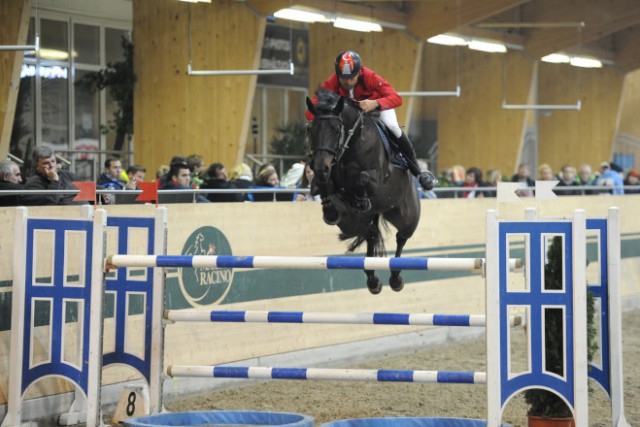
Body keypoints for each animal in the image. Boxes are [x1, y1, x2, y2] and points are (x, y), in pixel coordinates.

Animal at [304, 90, 420, 296]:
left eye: (336, 129)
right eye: (312, 130)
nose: (320, 168)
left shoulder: (377, 179)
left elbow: (362, 179)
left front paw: (360, 199)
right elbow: (323, 186)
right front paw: (330, 208)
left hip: (407, 216)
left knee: (401, 238)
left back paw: (395, 279)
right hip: (351, 223)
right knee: (371, 234)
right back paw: (373, 280)